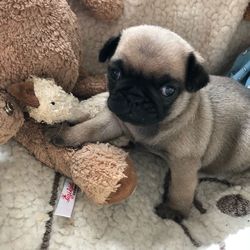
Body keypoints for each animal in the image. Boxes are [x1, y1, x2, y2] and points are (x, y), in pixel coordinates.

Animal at [50, 24, 250, 221]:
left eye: (168, 90)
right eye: (115, 73)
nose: (134, 97)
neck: (145, 127)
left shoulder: (185, 162)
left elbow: (181, 188)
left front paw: (174, 210)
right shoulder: (115, 120)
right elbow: (89, 128)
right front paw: (66, 135)